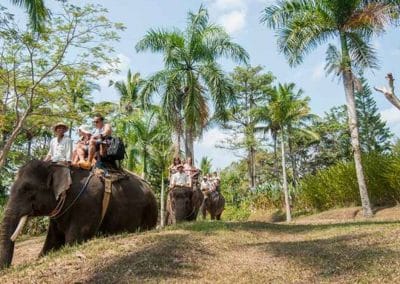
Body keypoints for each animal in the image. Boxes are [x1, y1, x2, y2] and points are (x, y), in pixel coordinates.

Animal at [0, 160, 158, 268]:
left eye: (27, 190)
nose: (8, 268)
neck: (57, 166)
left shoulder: (88, 204)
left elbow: (72, 242)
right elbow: (50, 244)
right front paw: (41, 256)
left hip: (150, 210)